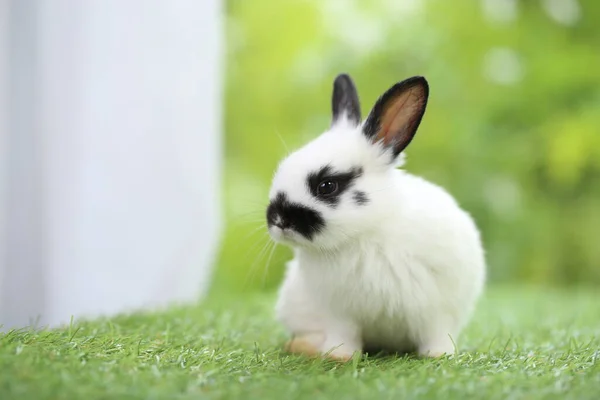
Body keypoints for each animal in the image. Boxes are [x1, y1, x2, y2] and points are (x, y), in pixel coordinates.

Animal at [264, 72, 486, 362]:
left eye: (327, 186)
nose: (277, 221)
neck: (366, 232)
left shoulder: (438, 312)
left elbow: (436, 335)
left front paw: (439, 355)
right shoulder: (339, 313)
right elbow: (343, 336)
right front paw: (340, 356)